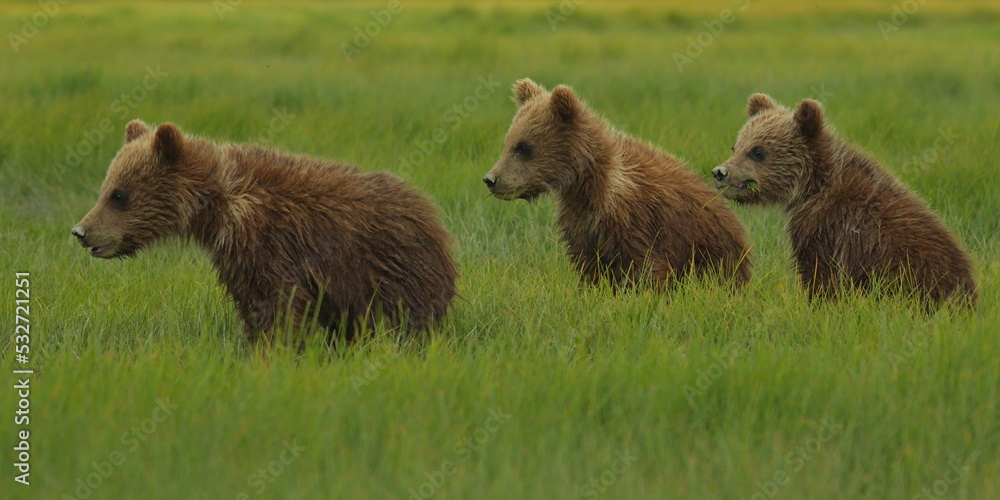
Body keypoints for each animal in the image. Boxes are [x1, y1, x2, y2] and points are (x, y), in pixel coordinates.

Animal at [72, 120, 458, 342]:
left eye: (118, 194)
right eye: (105, 188)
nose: (81, 231)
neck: (218, 207)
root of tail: (434, 220)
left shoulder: (271, 243)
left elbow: (279, 305)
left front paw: (275, 349)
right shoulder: (237, 256)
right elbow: (251, 303)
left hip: (388, 270)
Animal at [483, 79, 752, 290]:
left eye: (523, 147)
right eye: (507, 143)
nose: (491, 179)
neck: (588, 184)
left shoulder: (632, 217)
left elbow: (644, 264)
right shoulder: (581, 220)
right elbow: (588, 264)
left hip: (713, 247)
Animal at [711, 94, 977, 307]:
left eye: (758, 151)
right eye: (735, 146)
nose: (720, 172)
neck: (811, 186)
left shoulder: (827, 227)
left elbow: (819, 274)